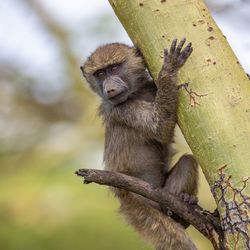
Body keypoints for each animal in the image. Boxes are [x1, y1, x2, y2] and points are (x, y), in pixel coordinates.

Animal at [81, 37, 199, 250]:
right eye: (100, 74)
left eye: (114, 68)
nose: (110, 89)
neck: (138, 92)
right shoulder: (120, 109)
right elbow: (160, 127)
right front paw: (169, 69)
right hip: (140, 209)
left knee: (188, 161)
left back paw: (183, 204)